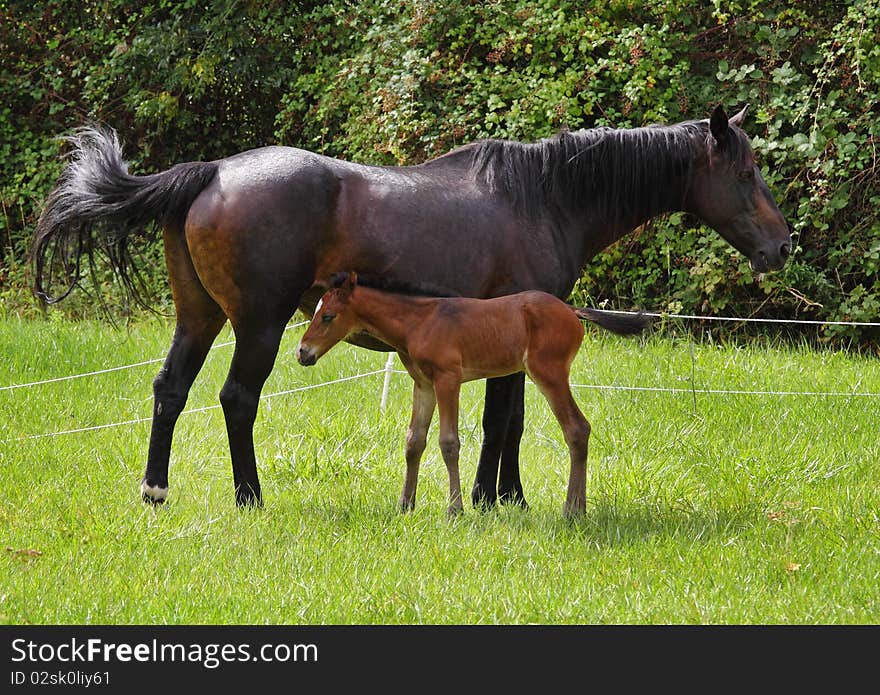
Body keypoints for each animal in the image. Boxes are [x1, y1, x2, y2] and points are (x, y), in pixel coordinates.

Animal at [296, 272, 648, 516]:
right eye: (315, 312)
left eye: (328, 316)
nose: (302, 353)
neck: (419, 321)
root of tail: (571, 310)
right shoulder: (423, 384)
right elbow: (414, 442)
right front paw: (405, 504)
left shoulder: (448, 380)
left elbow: (448, 443)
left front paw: (455, 509)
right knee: (579, 429)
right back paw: (579, 508)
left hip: (549, 373)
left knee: (576, 428)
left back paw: (572, 511)